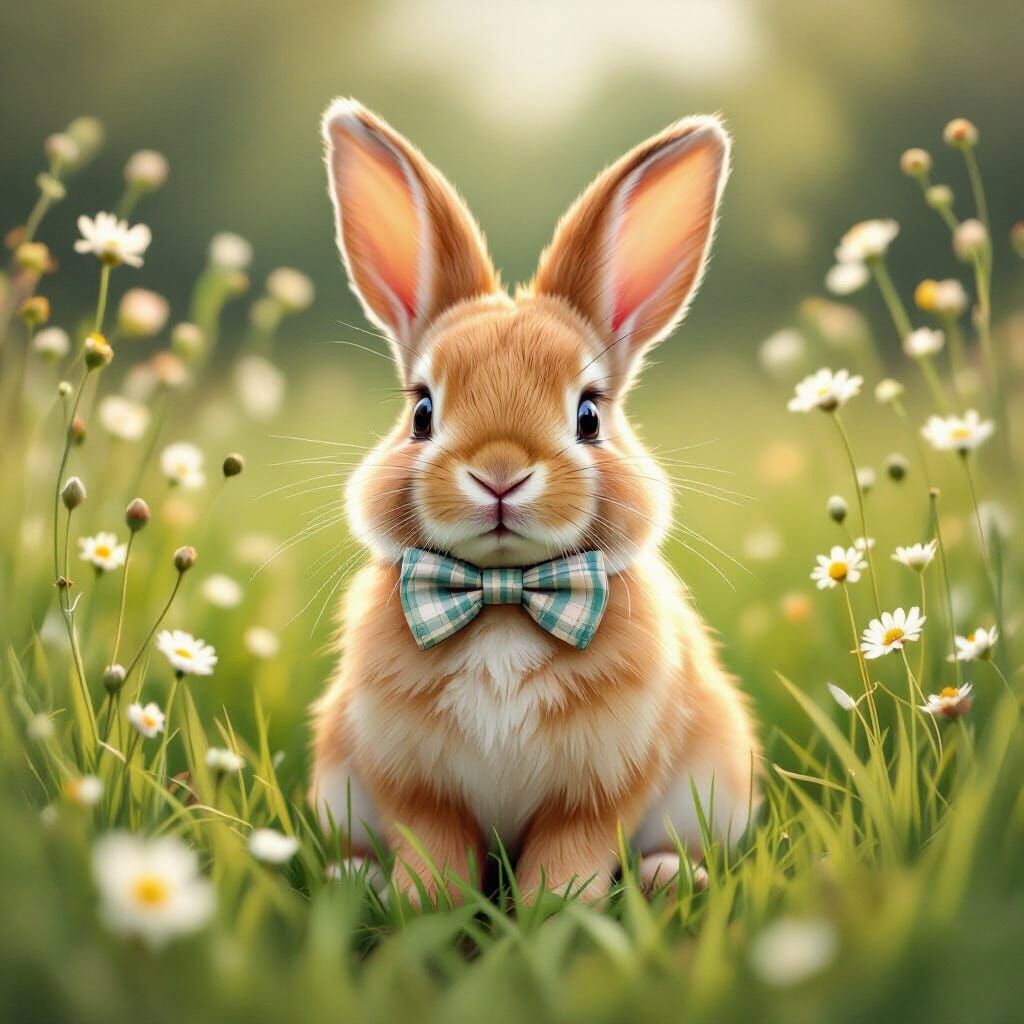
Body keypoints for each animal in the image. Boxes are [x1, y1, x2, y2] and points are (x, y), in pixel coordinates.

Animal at [310, 98, 759, 906]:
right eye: (421, 411)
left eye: (589, 415)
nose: (500, 473)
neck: (503, 597)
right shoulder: (416, 787)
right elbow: (433, 848)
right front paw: (426, 906)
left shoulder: (599, 788)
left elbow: (571, 851)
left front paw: (557, 909)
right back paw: (353, 876)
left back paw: (667, 876)